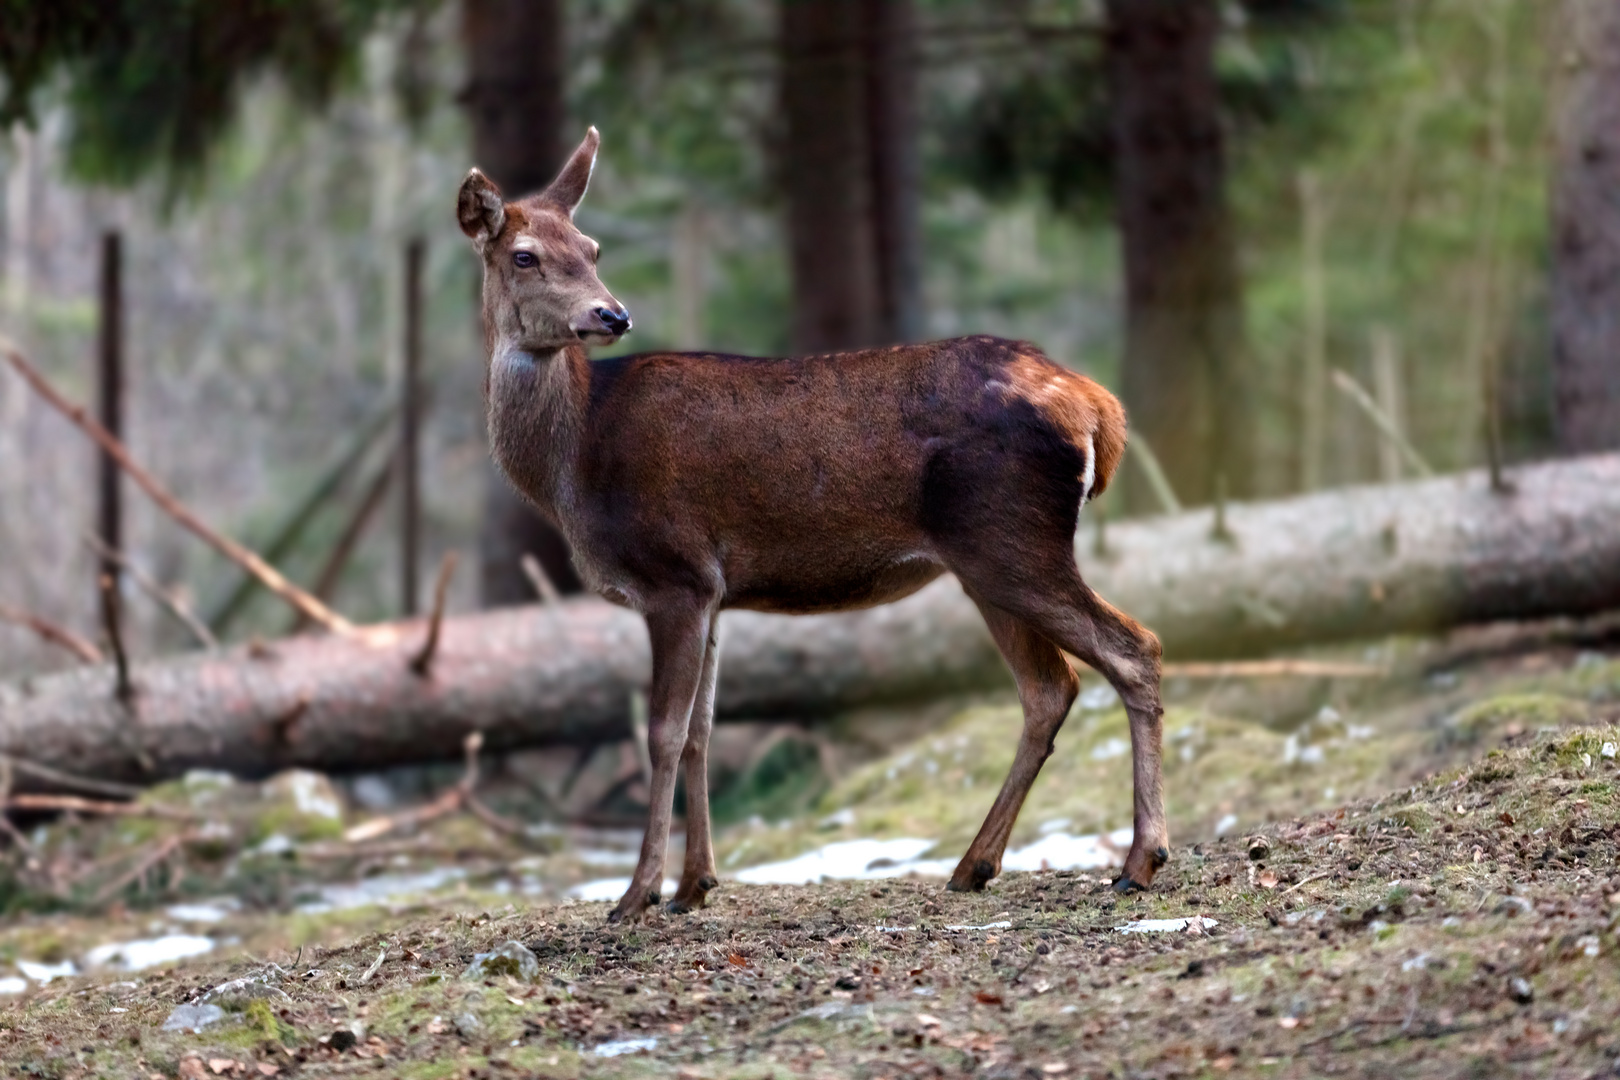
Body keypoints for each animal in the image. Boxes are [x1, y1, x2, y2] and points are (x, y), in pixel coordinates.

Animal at [456, 124, 1166, 919]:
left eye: (593, 247)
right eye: (525, 254)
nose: (611, 314)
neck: (573, 460)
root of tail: (1095, 405)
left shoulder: (673, 573)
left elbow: (663, 732)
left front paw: (636, 895)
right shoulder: (712, 590)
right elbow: (703, 731)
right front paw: (694, 885)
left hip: (1011, 542)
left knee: (1133, 648)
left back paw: (1139, 859)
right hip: (989, 561)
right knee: (1050, 689)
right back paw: (975, 864)